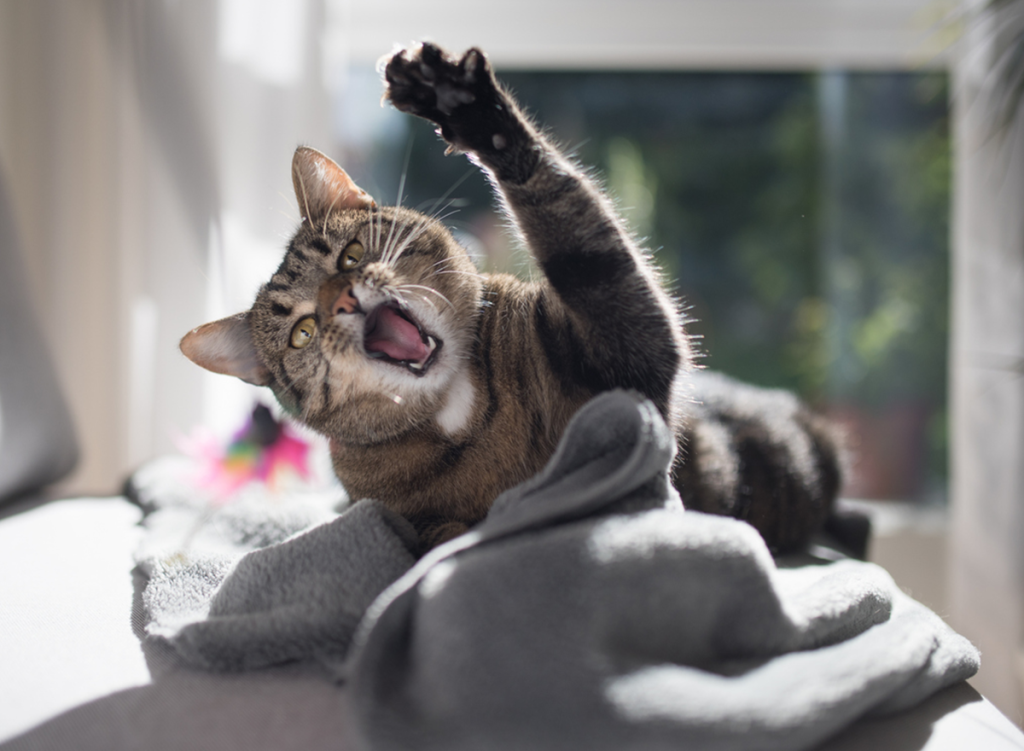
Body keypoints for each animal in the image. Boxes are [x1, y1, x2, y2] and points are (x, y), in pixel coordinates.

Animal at [182, 44, 839, 553]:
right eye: (302, 332)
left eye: (348, 256)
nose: (343, 299)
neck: (457, 404)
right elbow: (436, 538)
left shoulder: (626, 358)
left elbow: (577, 233)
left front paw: (467, 108)